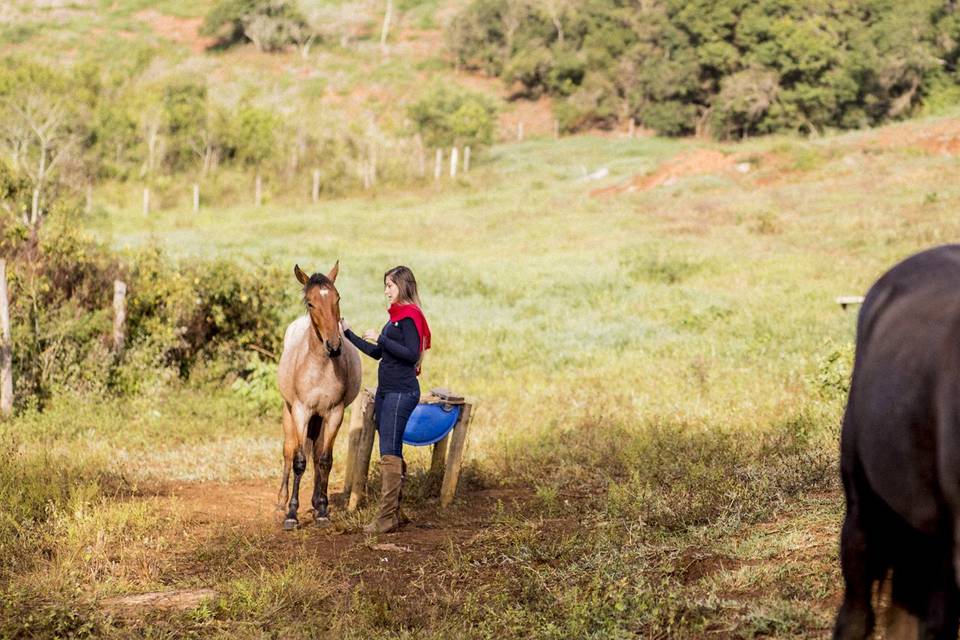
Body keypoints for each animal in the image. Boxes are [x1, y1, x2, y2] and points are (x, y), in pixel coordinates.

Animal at [276, 262, 362, 528]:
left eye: (338, 298)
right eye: (311, 303)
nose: (334, 346)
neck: (320, 366)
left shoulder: (334, 413)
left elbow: (324, 459)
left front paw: (323, 509)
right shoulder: (301, 411)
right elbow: (298, 461)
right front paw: (291, 514)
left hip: (319, 418)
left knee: (315, 453)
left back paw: (315, 504)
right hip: (289, 411)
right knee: (289, 451)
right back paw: (281, 503)